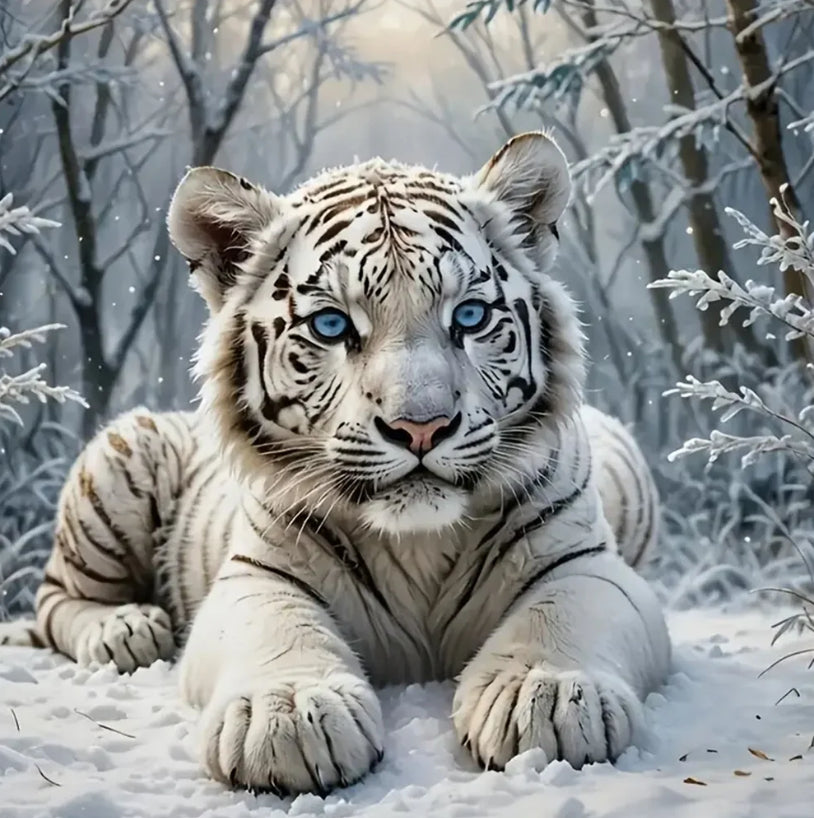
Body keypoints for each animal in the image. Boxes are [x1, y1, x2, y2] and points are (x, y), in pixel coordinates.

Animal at [0, 132, 670, 796]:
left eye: (470, 317)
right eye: (331, 324)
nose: (421, 425)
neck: (418, 541)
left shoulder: (585, 563)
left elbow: (561, 616)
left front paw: (546, 694)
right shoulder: (257, 574)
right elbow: (277, 628)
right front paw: (290, 714)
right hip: (120, 459)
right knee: (56, 598)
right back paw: (127, 630)